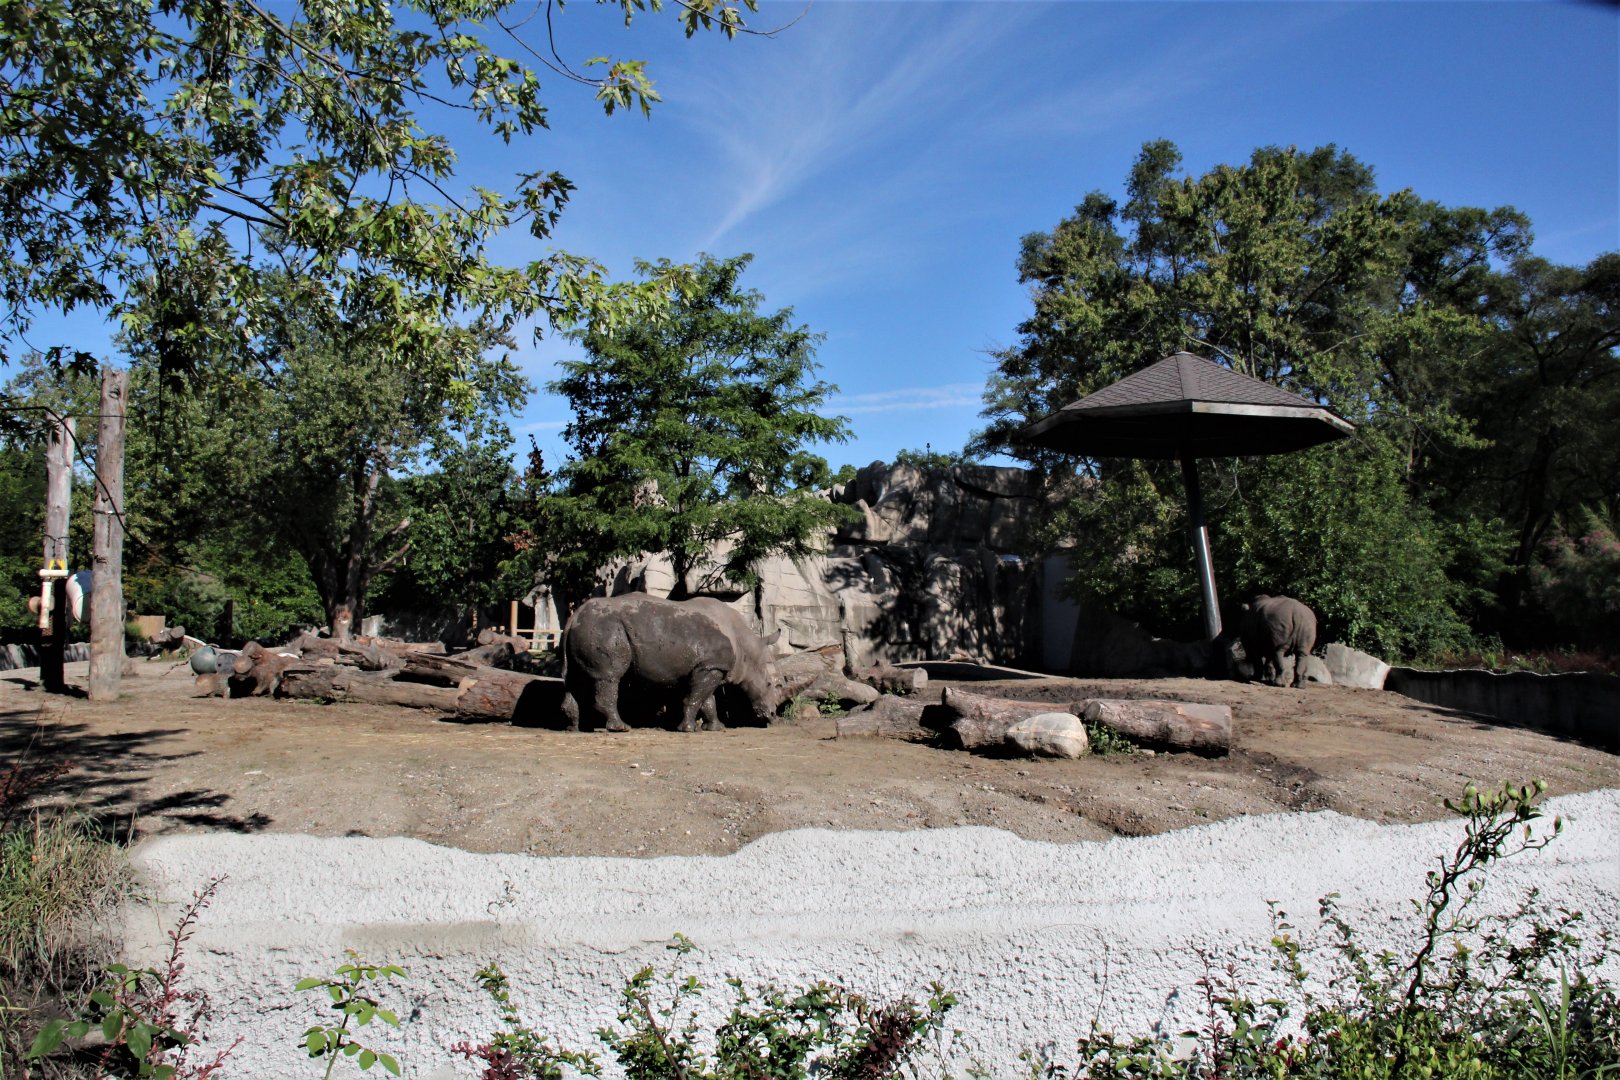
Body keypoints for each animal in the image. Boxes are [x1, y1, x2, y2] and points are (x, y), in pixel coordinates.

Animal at [560, 594, 784, 733]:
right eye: (770, 684)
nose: (773, 715)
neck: (747, 649)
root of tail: (574, 616)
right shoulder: (710, 666)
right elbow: (696, 698)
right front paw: (688, 729)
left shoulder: (709, 666)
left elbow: (708, 700)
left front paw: (716, 728)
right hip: (605, 628)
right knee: (610, 677)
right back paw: (621, 727)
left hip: (588, 627)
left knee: (575, 679)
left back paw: (576, 728)